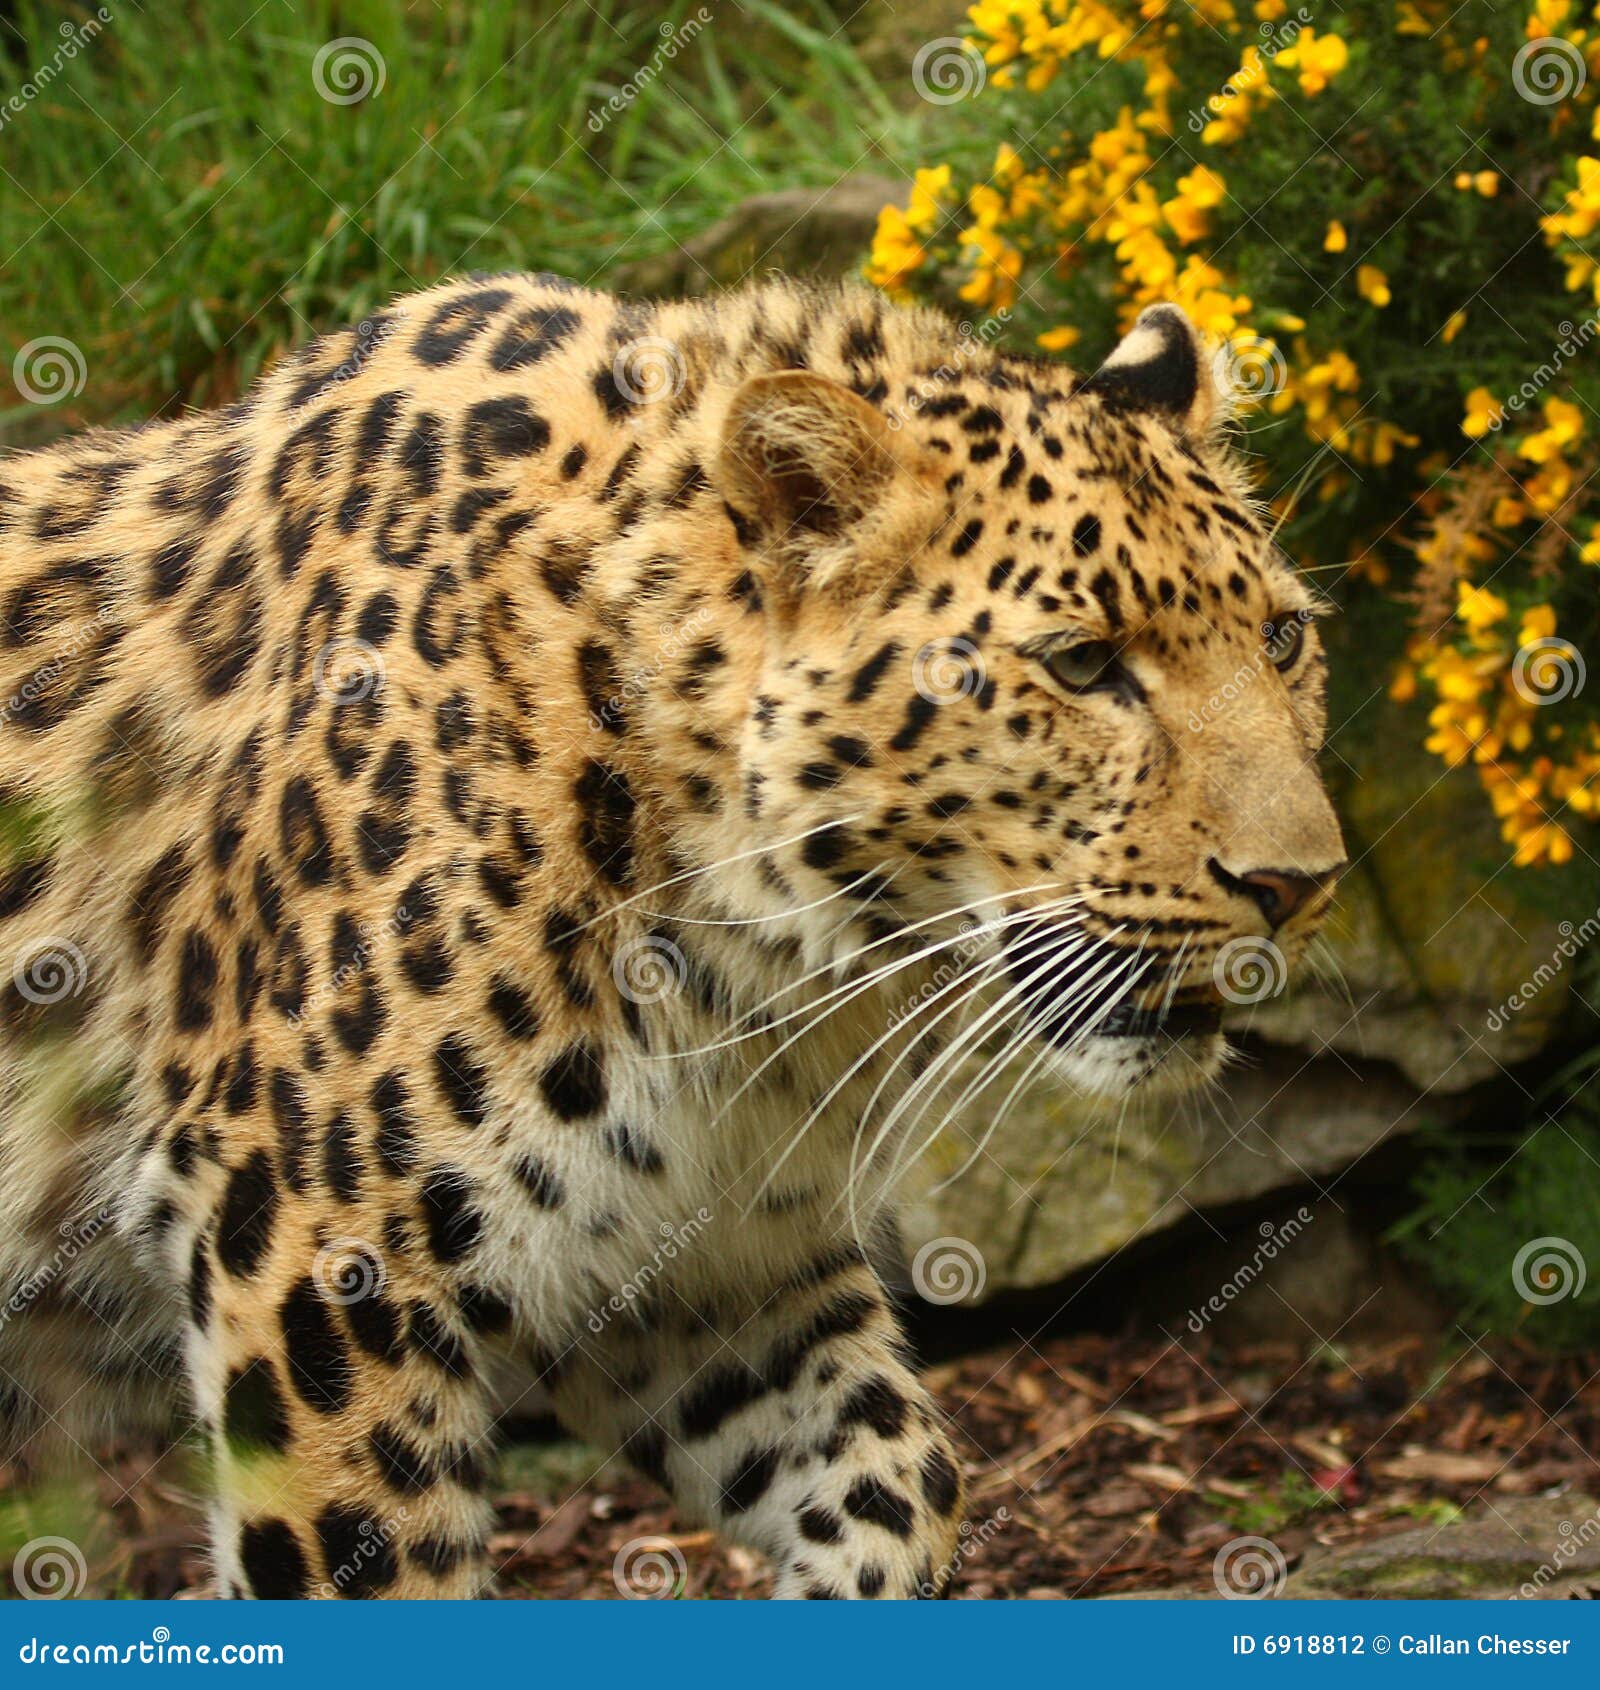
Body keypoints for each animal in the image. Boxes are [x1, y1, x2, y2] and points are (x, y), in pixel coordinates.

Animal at [0, 271, 1345, 1600]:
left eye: (1282, 639)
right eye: (1081, 664)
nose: (1298, 881)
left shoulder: (707, 1270)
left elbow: (901, 1479)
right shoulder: (312, 1259)